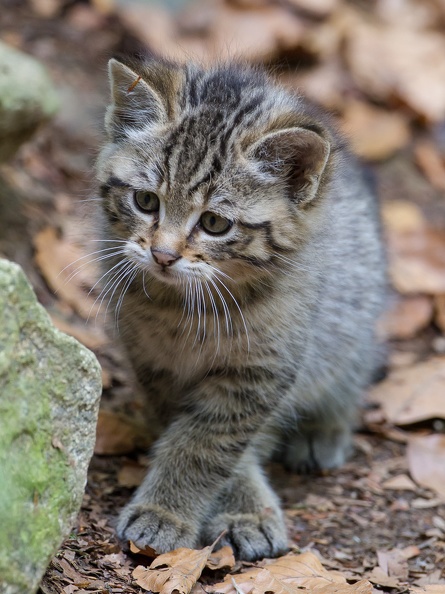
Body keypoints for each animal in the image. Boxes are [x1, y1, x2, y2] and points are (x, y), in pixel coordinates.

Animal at [96, 56, 386, 560]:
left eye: (215, 223)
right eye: (146, 200)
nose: (163, 255)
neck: (189, 310)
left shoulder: (264, 369)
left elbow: (206, 444)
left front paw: (168, 513)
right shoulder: (154, 365)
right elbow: (196, 435)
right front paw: (225, 505)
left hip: (352, 316)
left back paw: (325, 429)